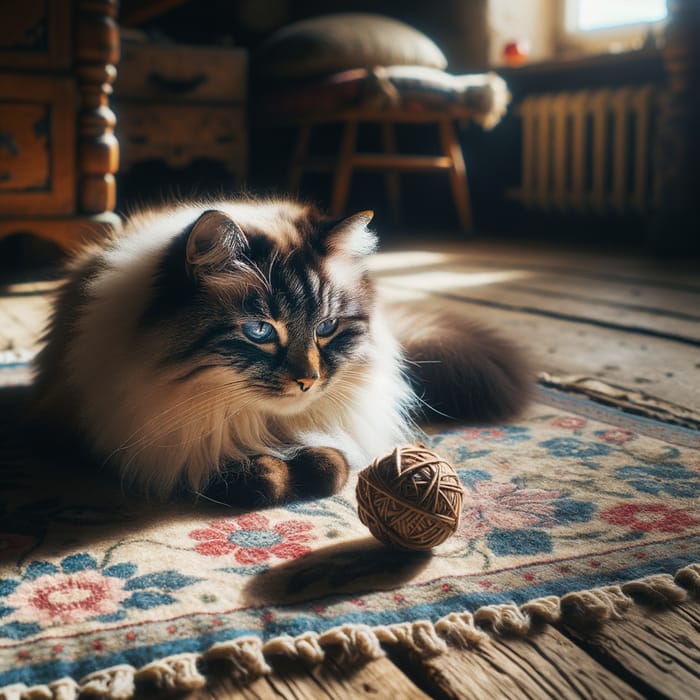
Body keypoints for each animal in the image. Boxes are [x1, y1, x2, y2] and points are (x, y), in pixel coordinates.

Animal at [32, 197, 532, 504]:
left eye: (327, 328)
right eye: (259, 331)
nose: (308, 380)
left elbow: (331, 464)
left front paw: (307, 469)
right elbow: (249, 473)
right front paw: (272, 476)